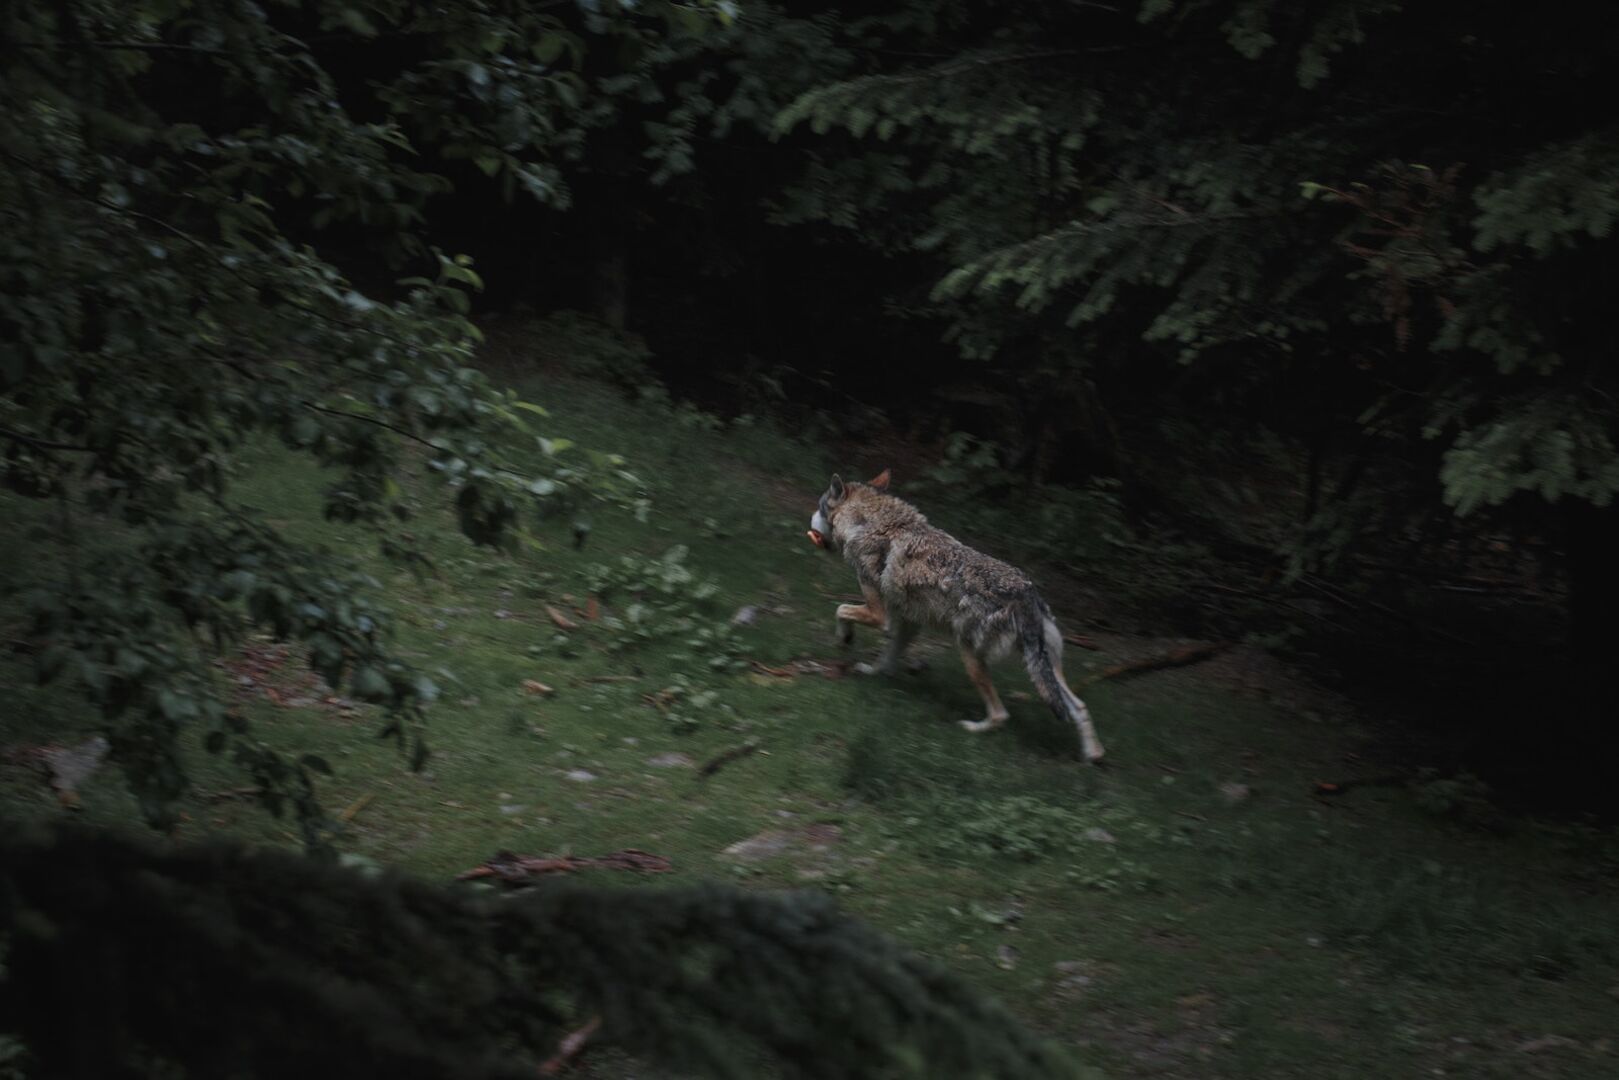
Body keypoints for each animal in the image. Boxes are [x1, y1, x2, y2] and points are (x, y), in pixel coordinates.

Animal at [808, 469, 1104, 762]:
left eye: (820, 507)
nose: (809, 520)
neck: (875, 524)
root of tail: (1028, 596)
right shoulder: (907, 623)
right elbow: (886, 657)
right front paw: (874, 673)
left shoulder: (879, 614)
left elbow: (840, 610)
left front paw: (844, 639)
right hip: (1044, 668)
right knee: (1080, 707)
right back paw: (1092, 756)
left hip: (969, 653)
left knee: (1000, 714)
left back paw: (971, 728)